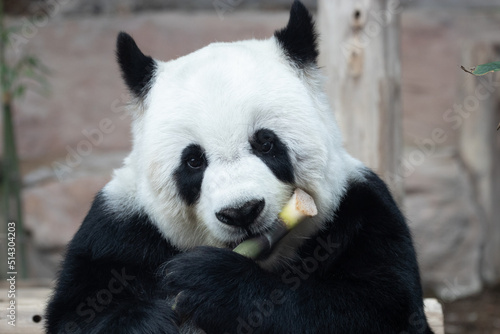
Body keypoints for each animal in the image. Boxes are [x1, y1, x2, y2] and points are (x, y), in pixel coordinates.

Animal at [46, 2, 434, 334]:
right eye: (193, 160)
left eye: (265, 143)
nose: (241, 212)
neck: (265, 257)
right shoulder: (117, 230)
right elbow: (77, 314)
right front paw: (156, 317)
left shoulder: (363, 211)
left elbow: (377, 308)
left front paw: (214, 284)